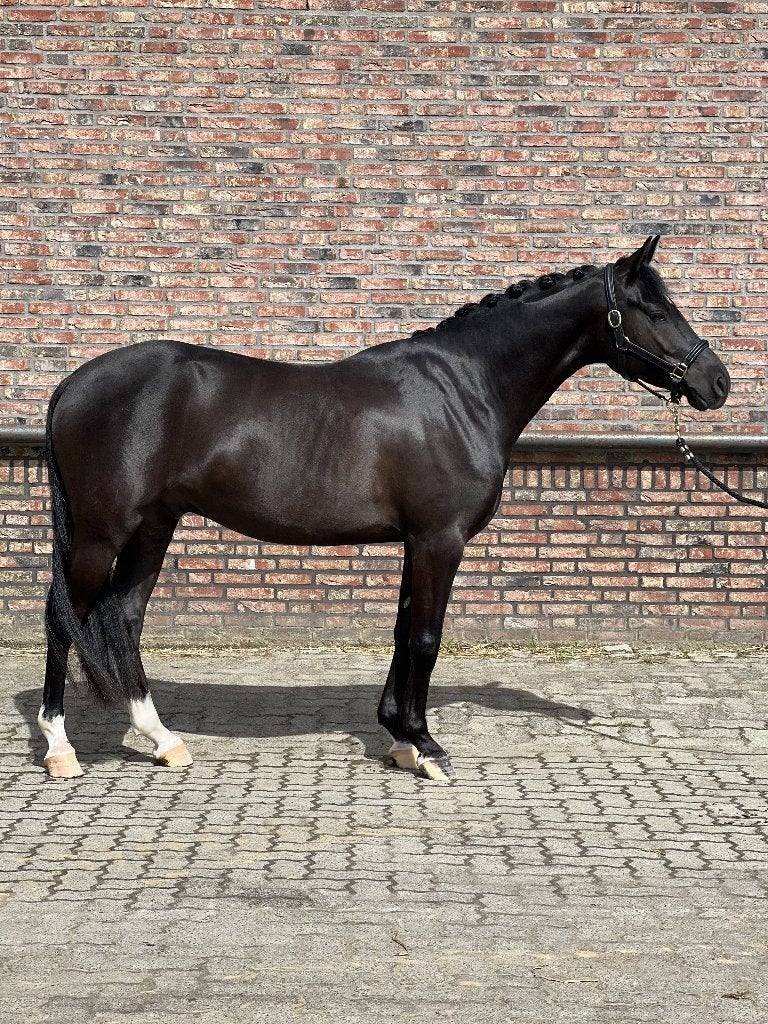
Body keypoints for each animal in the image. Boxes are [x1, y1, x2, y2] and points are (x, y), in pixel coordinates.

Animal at [39, 236, 730, 781]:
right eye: (655, 308)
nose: (716, 382)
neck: (464, 387)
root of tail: (72, 384)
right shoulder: (439, 540)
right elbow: (425, 637)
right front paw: (427, 747)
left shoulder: (416, 542)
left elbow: (403, 632)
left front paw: (399, 736)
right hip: (102, 532)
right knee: (63, 618)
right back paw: (60, 748)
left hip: (154, 525)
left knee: (124, 617)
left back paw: (163, 739)